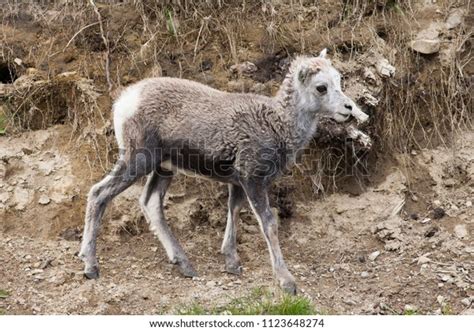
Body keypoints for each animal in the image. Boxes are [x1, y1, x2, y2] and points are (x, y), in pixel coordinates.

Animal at [79, 48, 370, 294]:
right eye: (321, 87)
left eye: (338, 80)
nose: (348, 109)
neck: (278, 124)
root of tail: (124, 102)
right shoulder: (253, 180)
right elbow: (268, 223)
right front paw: (287, 282)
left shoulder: (238, 183)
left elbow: (234, 211)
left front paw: (232, 264)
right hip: (137, 161)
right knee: (99, 194)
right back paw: (90, 266)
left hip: (163, 169)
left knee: (150, 203)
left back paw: (185, 265)